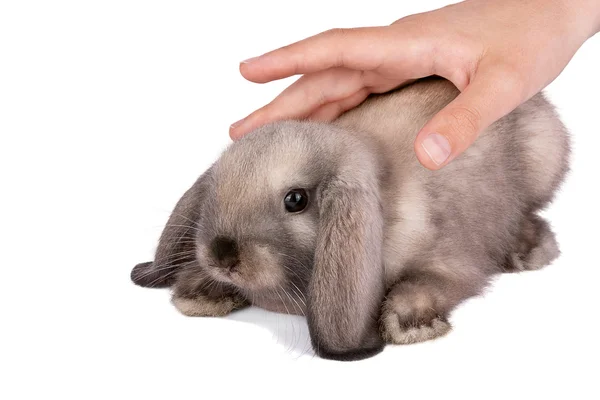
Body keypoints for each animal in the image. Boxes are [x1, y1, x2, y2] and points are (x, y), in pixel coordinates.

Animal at [131, 76, 572, 360]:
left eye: (296, 199)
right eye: (215, 188)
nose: (222, 255)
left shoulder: (453, 260)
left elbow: (436, 282)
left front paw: (410, 324)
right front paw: (200, 293)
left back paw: (529, 249)